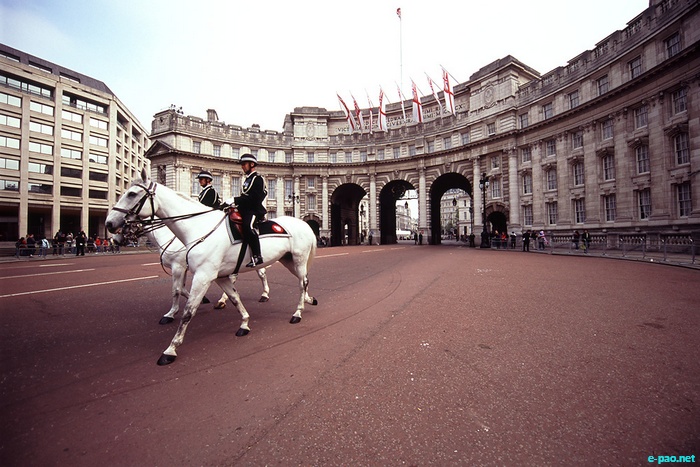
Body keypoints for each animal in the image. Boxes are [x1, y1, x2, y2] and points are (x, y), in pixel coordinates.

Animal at [106, 168, 318, 365]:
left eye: (132, 194)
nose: (110, 225)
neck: (197, 227)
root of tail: (305, 224)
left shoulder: (198, 274)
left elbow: (186, 308)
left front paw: (171, 349)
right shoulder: (215, 275)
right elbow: (234, 298)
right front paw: (244, 323)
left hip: (298, 259)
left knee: (301, 283)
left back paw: (297, 312)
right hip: (287, 260)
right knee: (300, 280)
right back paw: (306, 299)